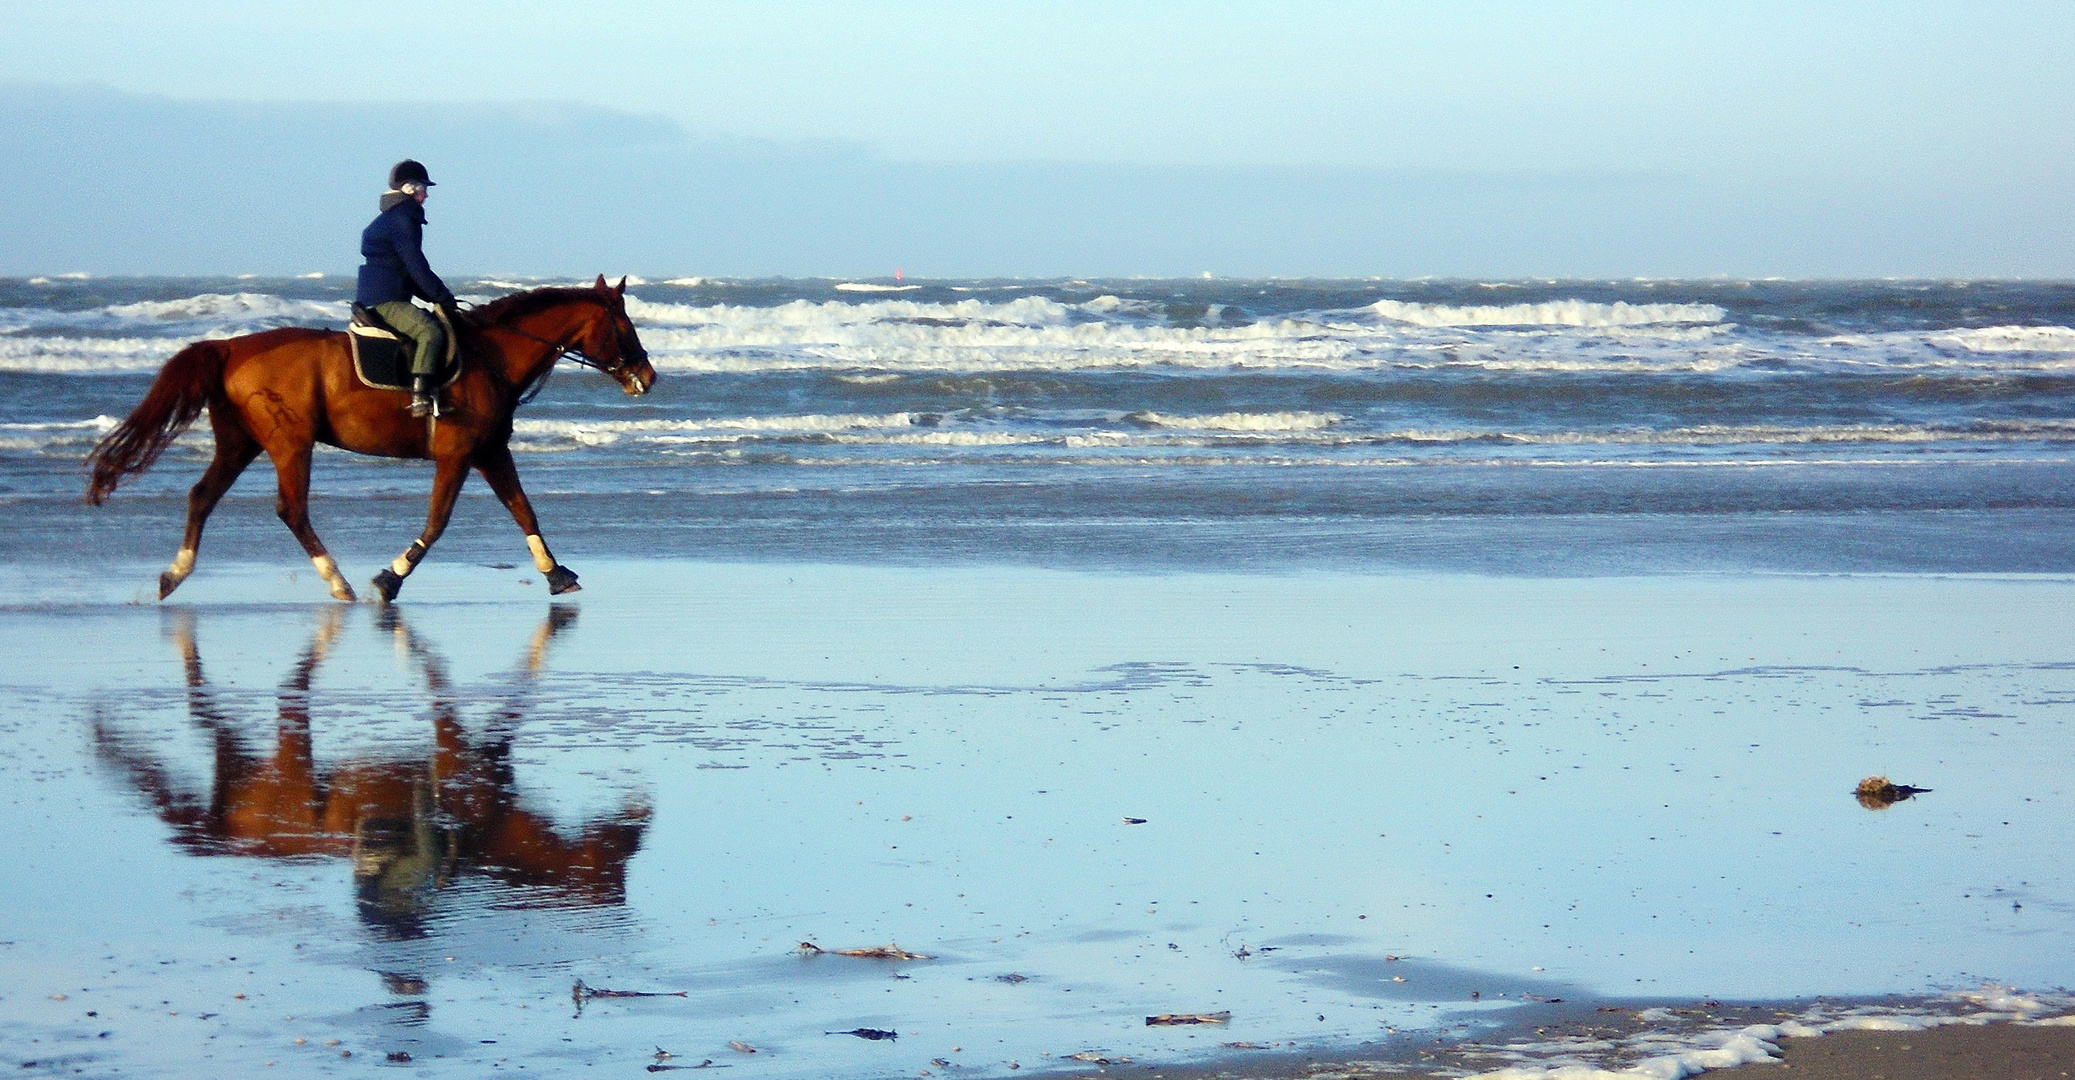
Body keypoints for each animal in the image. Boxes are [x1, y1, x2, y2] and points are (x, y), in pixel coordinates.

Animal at [85, 274, 651, 602]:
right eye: (625, 325)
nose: (648, 377)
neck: (491, 355)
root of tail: (230, 347)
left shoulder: (490, 451)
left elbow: (523, 509)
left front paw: (556, 573)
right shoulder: (457, 455)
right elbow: (438, 521)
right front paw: (391, 577)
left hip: (241, 443)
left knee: (202, 496)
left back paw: (174, 575)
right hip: (290, 444)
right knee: (291, 509)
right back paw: (339, 581)